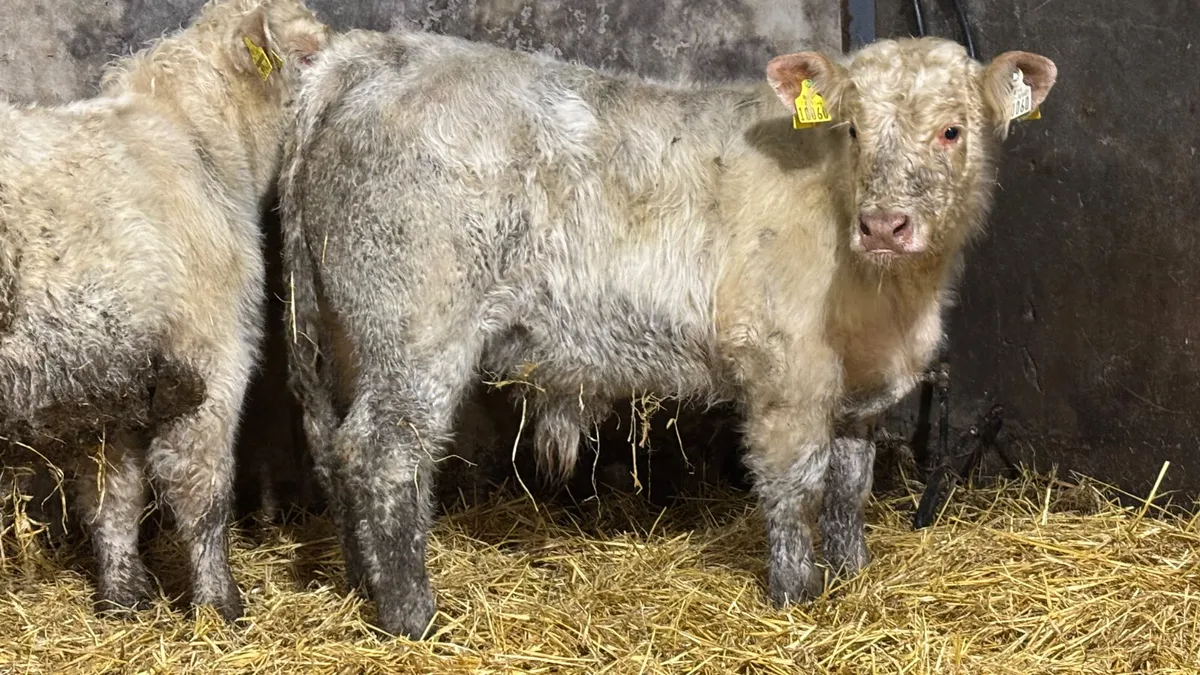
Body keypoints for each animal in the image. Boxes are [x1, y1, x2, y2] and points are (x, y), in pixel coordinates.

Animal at [0, 0, 329, 620]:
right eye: (307, 57)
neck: (202, 145)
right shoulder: (210, 359)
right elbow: (202, 492)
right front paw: (221, 603)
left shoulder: (112, 380)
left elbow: (112, 497)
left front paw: (123, 598)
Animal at [279, 29, 1057, 638]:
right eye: (854, 130)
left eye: (951, 130)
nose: (885, 225)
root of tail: (376, 52)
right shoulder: (784, 370)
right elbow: (795, 487)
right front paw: (796, 599)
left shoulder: (858, 389)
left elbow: (847, 486)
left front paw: (849, 577)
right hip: (417, 329)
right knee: (384, 456)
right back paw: (413, 619)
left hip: (351, 336)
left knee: (337, 451)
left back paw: (363, 584)